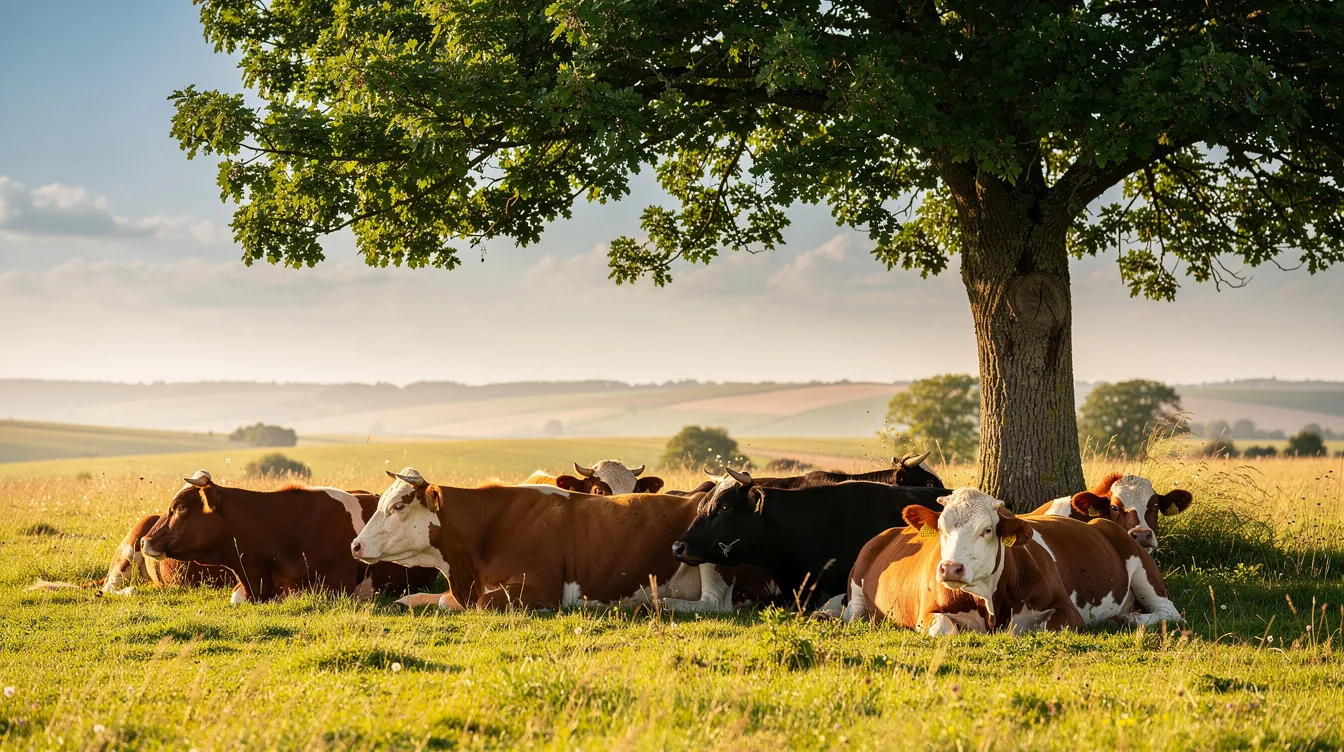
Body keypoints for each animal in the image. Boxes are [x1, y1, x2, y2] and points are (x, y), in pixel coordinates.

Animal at [843, 488, 1183, 634]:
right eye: (940, 528)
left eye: (987, 529)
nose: (950, 568)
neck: (990, 603)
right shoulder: (925, 612)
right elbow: (944, 629)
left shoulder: (1067, 610)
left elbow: (1044, 627)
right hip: (855, 594)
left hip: (1143, 569)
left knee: (1169, 612)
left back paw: (1128, 619)